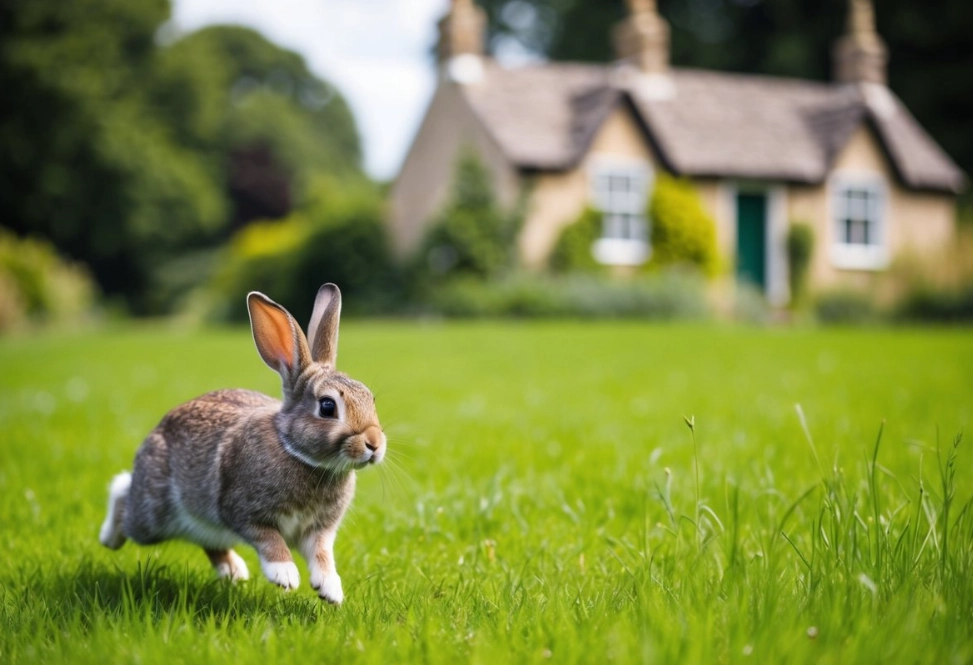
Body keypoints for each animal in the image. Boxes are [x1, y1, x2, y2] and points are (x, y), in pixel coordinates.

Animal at [98, 283, 386, 604]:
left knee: (209, 542)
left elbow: (322, 555)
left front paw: (330, 590)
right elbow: (269, 539)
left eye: (371, 399)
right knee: (124, 495)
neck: (296, 451)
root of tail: (155, 433)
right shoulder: (241, 511)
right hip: (153, 516)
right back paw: (108, 537)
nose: (374, 444)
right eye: (327, 407)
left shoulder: (319, 530)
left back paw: (234, 571)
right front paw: (285, 576)